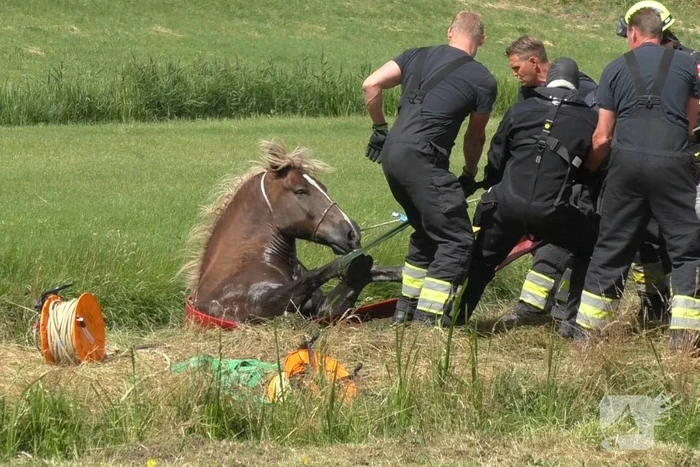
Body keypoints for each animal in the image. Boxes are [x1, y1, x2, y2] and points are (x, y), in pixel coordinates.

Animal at [182, 140, 401, 323]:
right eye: (300, 191)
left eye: (324, 188)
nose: (351, 233)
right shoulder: (264, 304)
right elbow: (316, 275)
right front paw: (352, 263)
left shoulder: (322, 310)